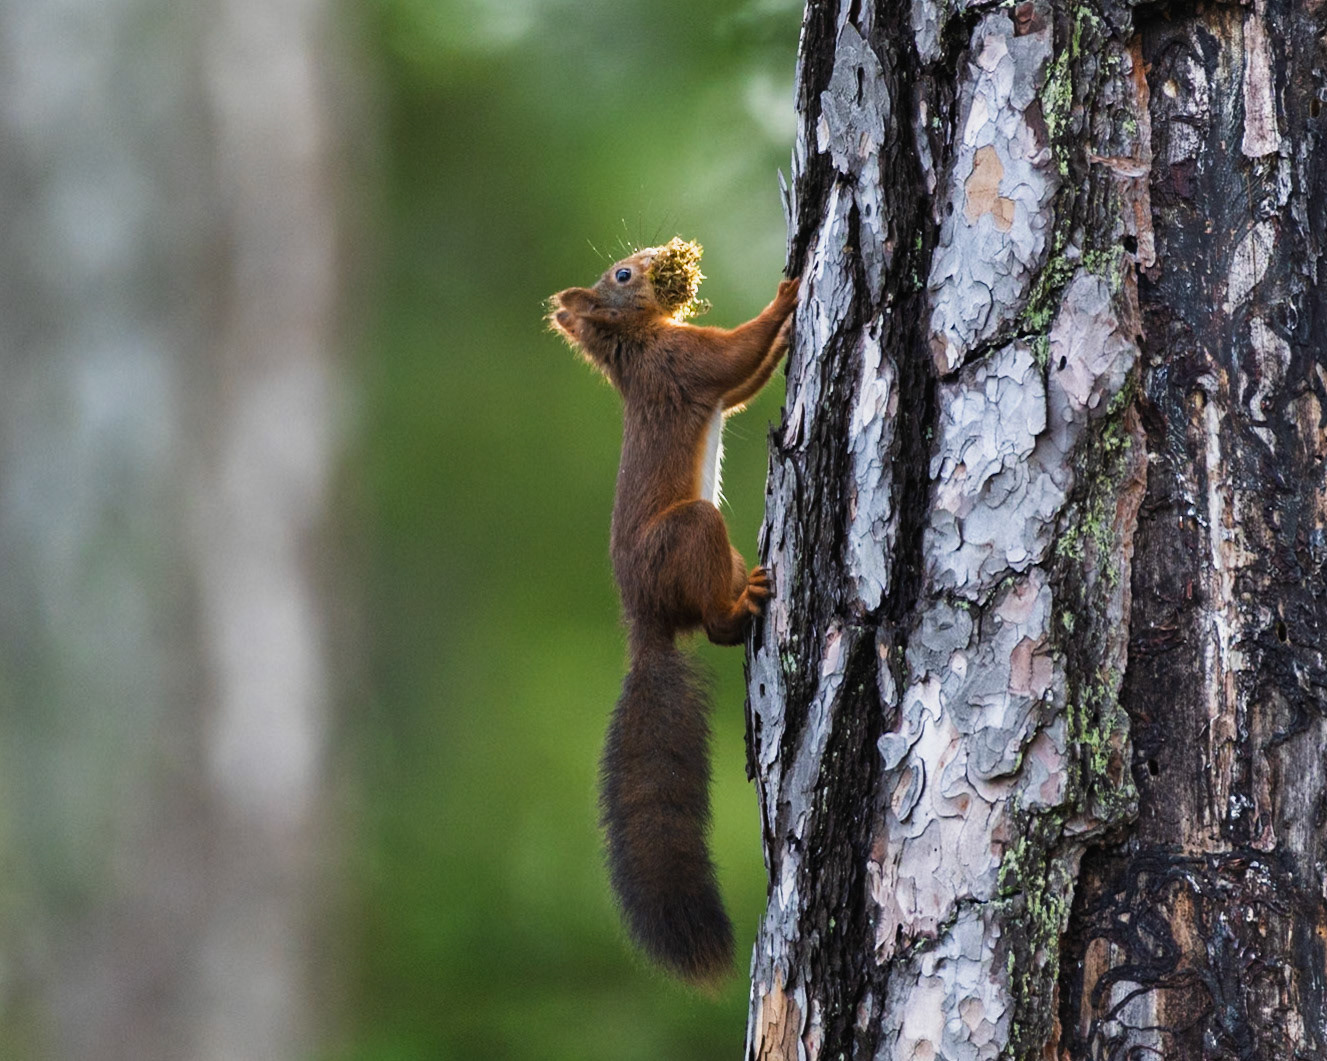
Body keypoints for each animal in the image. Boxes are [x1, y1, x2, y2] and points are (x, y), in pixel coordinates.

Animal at [549, 237, 799, 986]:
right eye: (624, 274)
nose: (664, 252)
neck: (635, 347)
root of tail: (645, 624)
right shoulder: (682, 362)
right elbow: (732, 358)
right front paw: (785, 297)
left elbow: (740, 387)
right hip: (691, 533)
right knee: (712, 625)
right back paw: (741, 605)